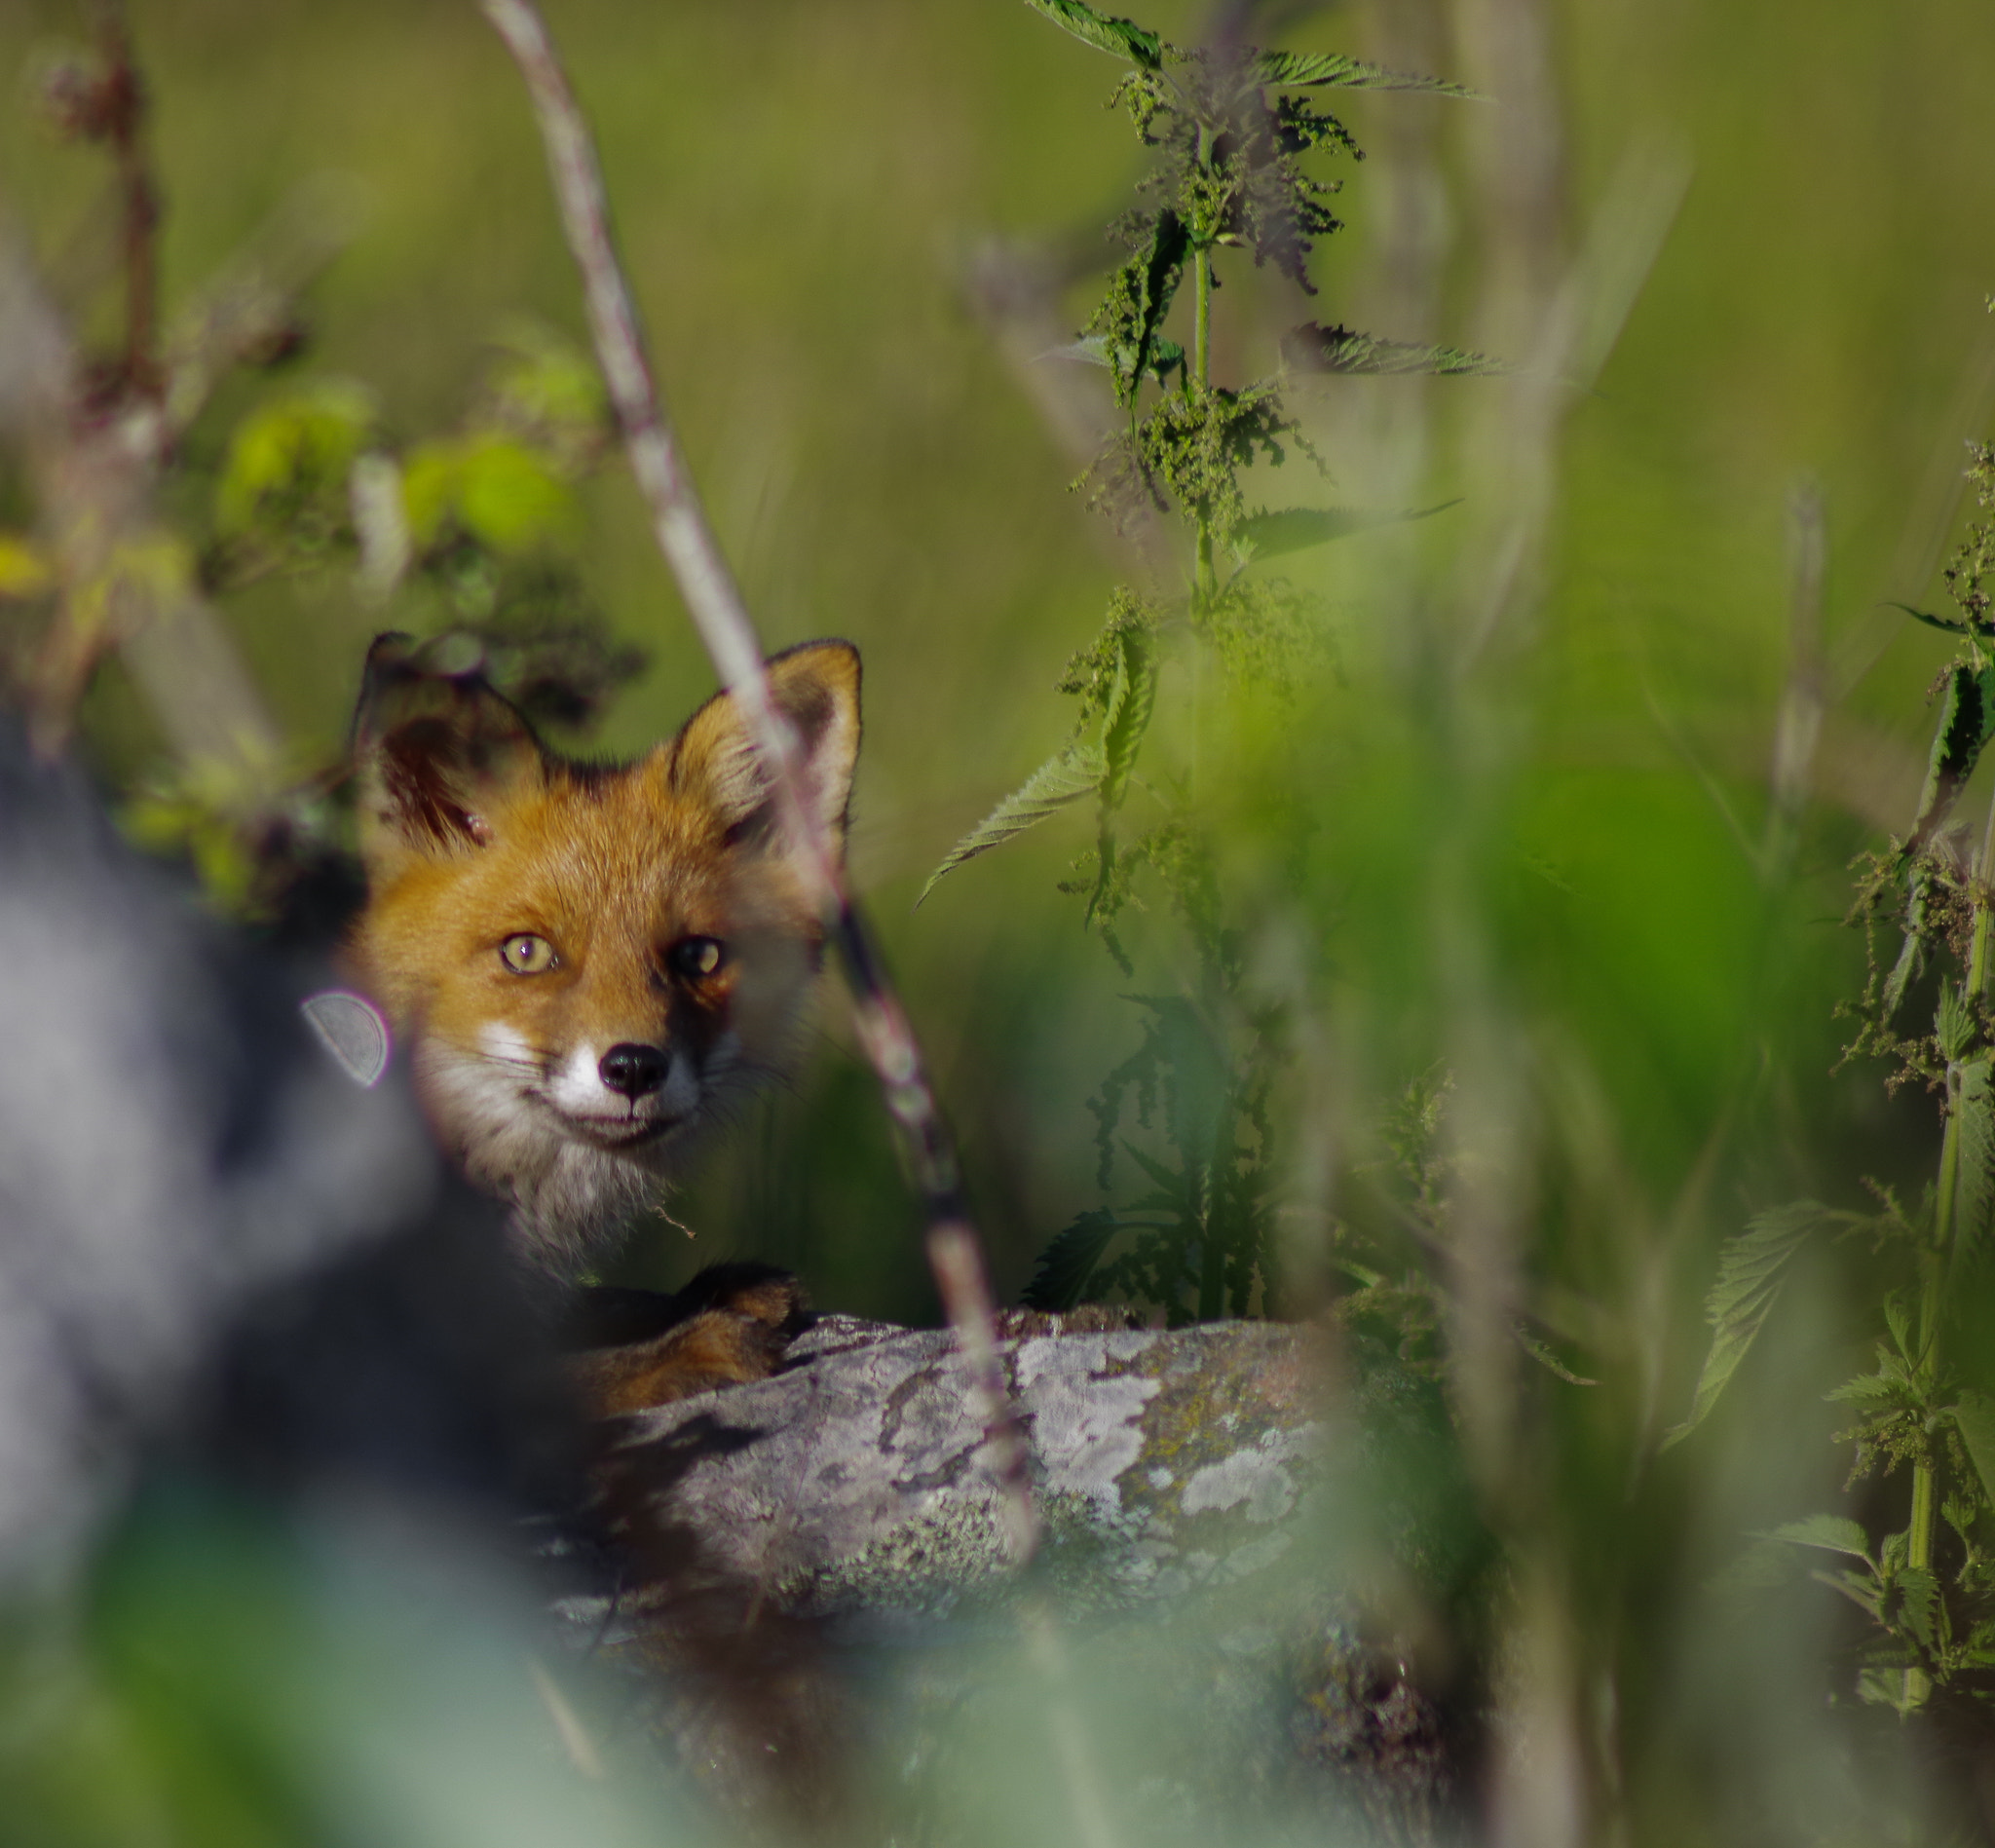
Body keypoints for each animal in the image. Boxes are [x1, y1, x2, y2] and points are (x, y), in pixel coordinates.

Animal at [342, 631, 860, 1409]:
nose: (634, 1067)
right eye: (528, 952)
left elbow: (586, 1309)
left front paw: (698, 1298)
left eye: (699, 956)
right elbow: (553, 1378)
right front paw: (685, 1346)